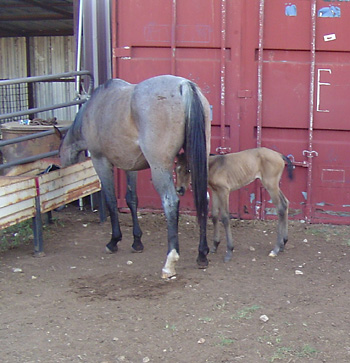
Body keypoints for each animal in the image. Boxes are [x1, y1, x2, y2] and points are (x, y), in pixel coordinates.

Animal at [58, 74, 211, 278]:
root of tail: (183, 85)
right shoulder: (130, 166)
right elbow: (132, 199)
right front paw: (137, 241)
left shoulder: (100, 161)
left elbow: (111, 200)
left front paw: (114, 241)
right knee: (204, 198)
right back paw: (202, 254)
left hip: (159, 168)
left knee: (170, 202)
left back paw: (170, 262)